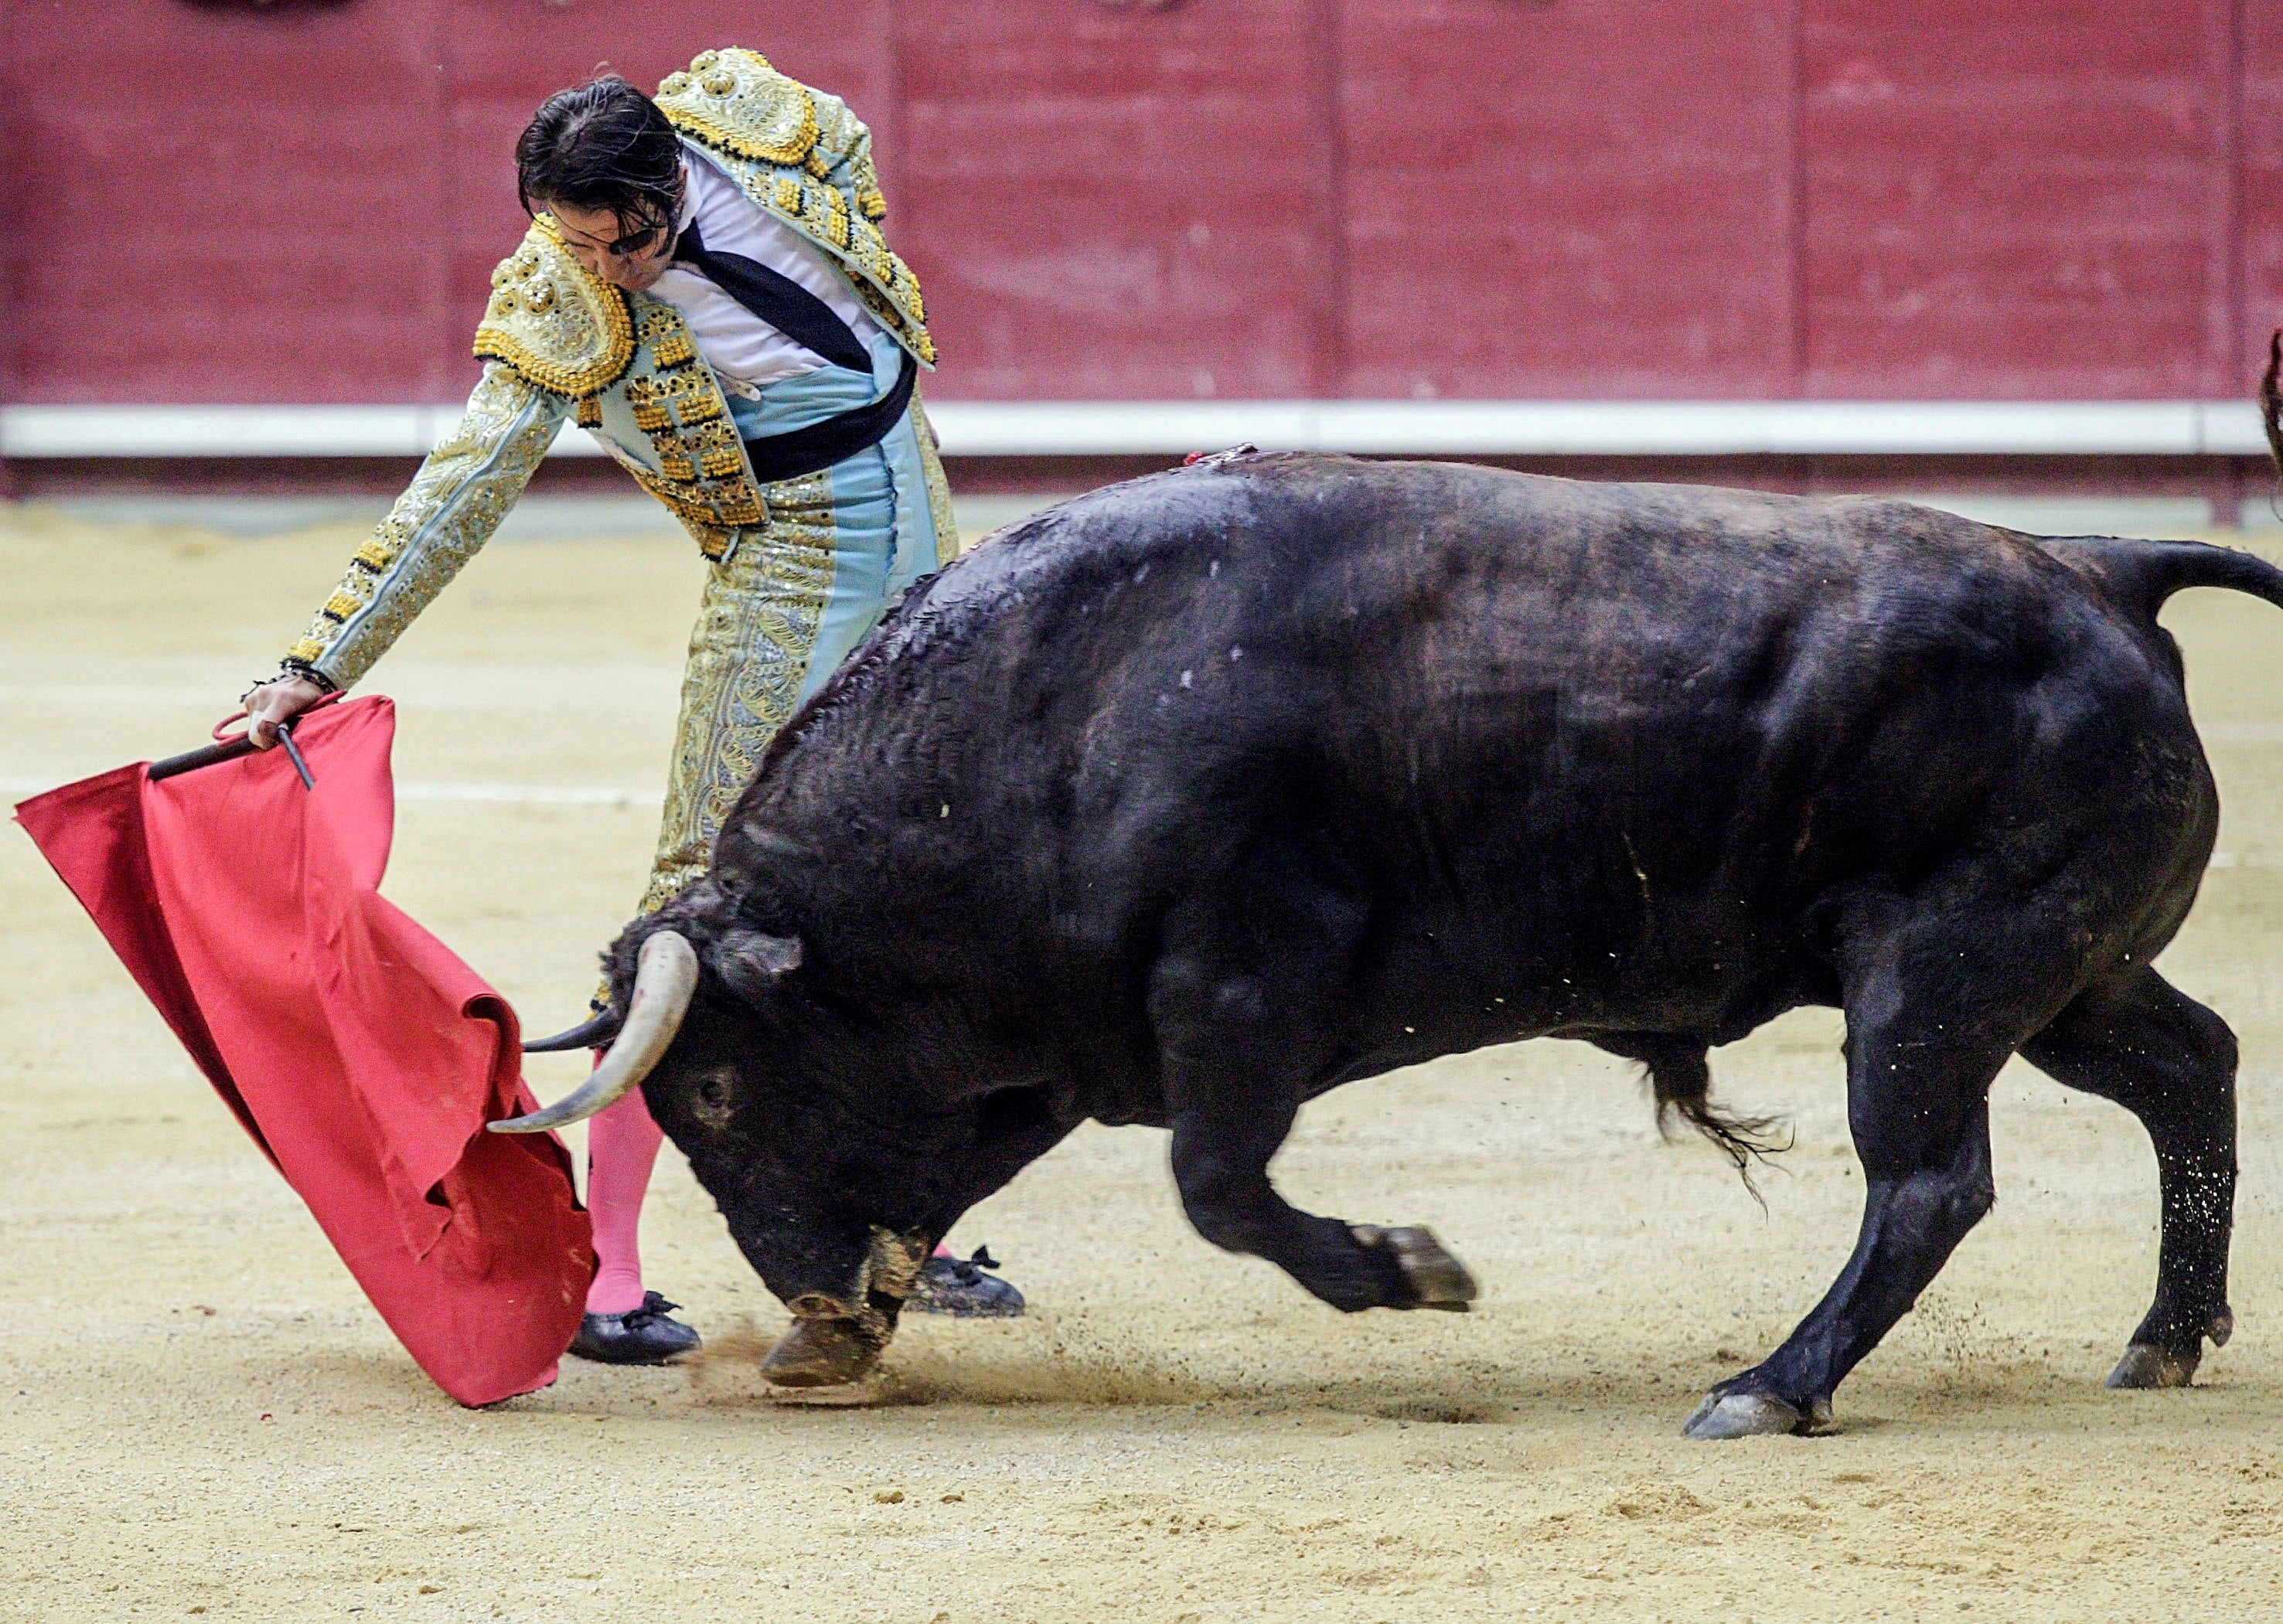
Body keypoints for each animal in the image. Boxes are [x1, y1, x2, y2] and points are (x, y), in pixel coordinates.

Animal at [504, 455, 2283, 1434]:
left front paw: (1409, 1274)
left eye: (716, 1094)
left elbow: (1220, 1187)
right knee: (2189, 1069)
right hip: (2063, 976)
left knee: (1928, 1183)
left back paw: (1768, 1386)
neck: (1045, 717)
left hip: (1934, 983)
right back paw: (2157, 1342)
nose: (810, 1331)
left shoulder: (1240, 973)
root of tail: (2104, 568)